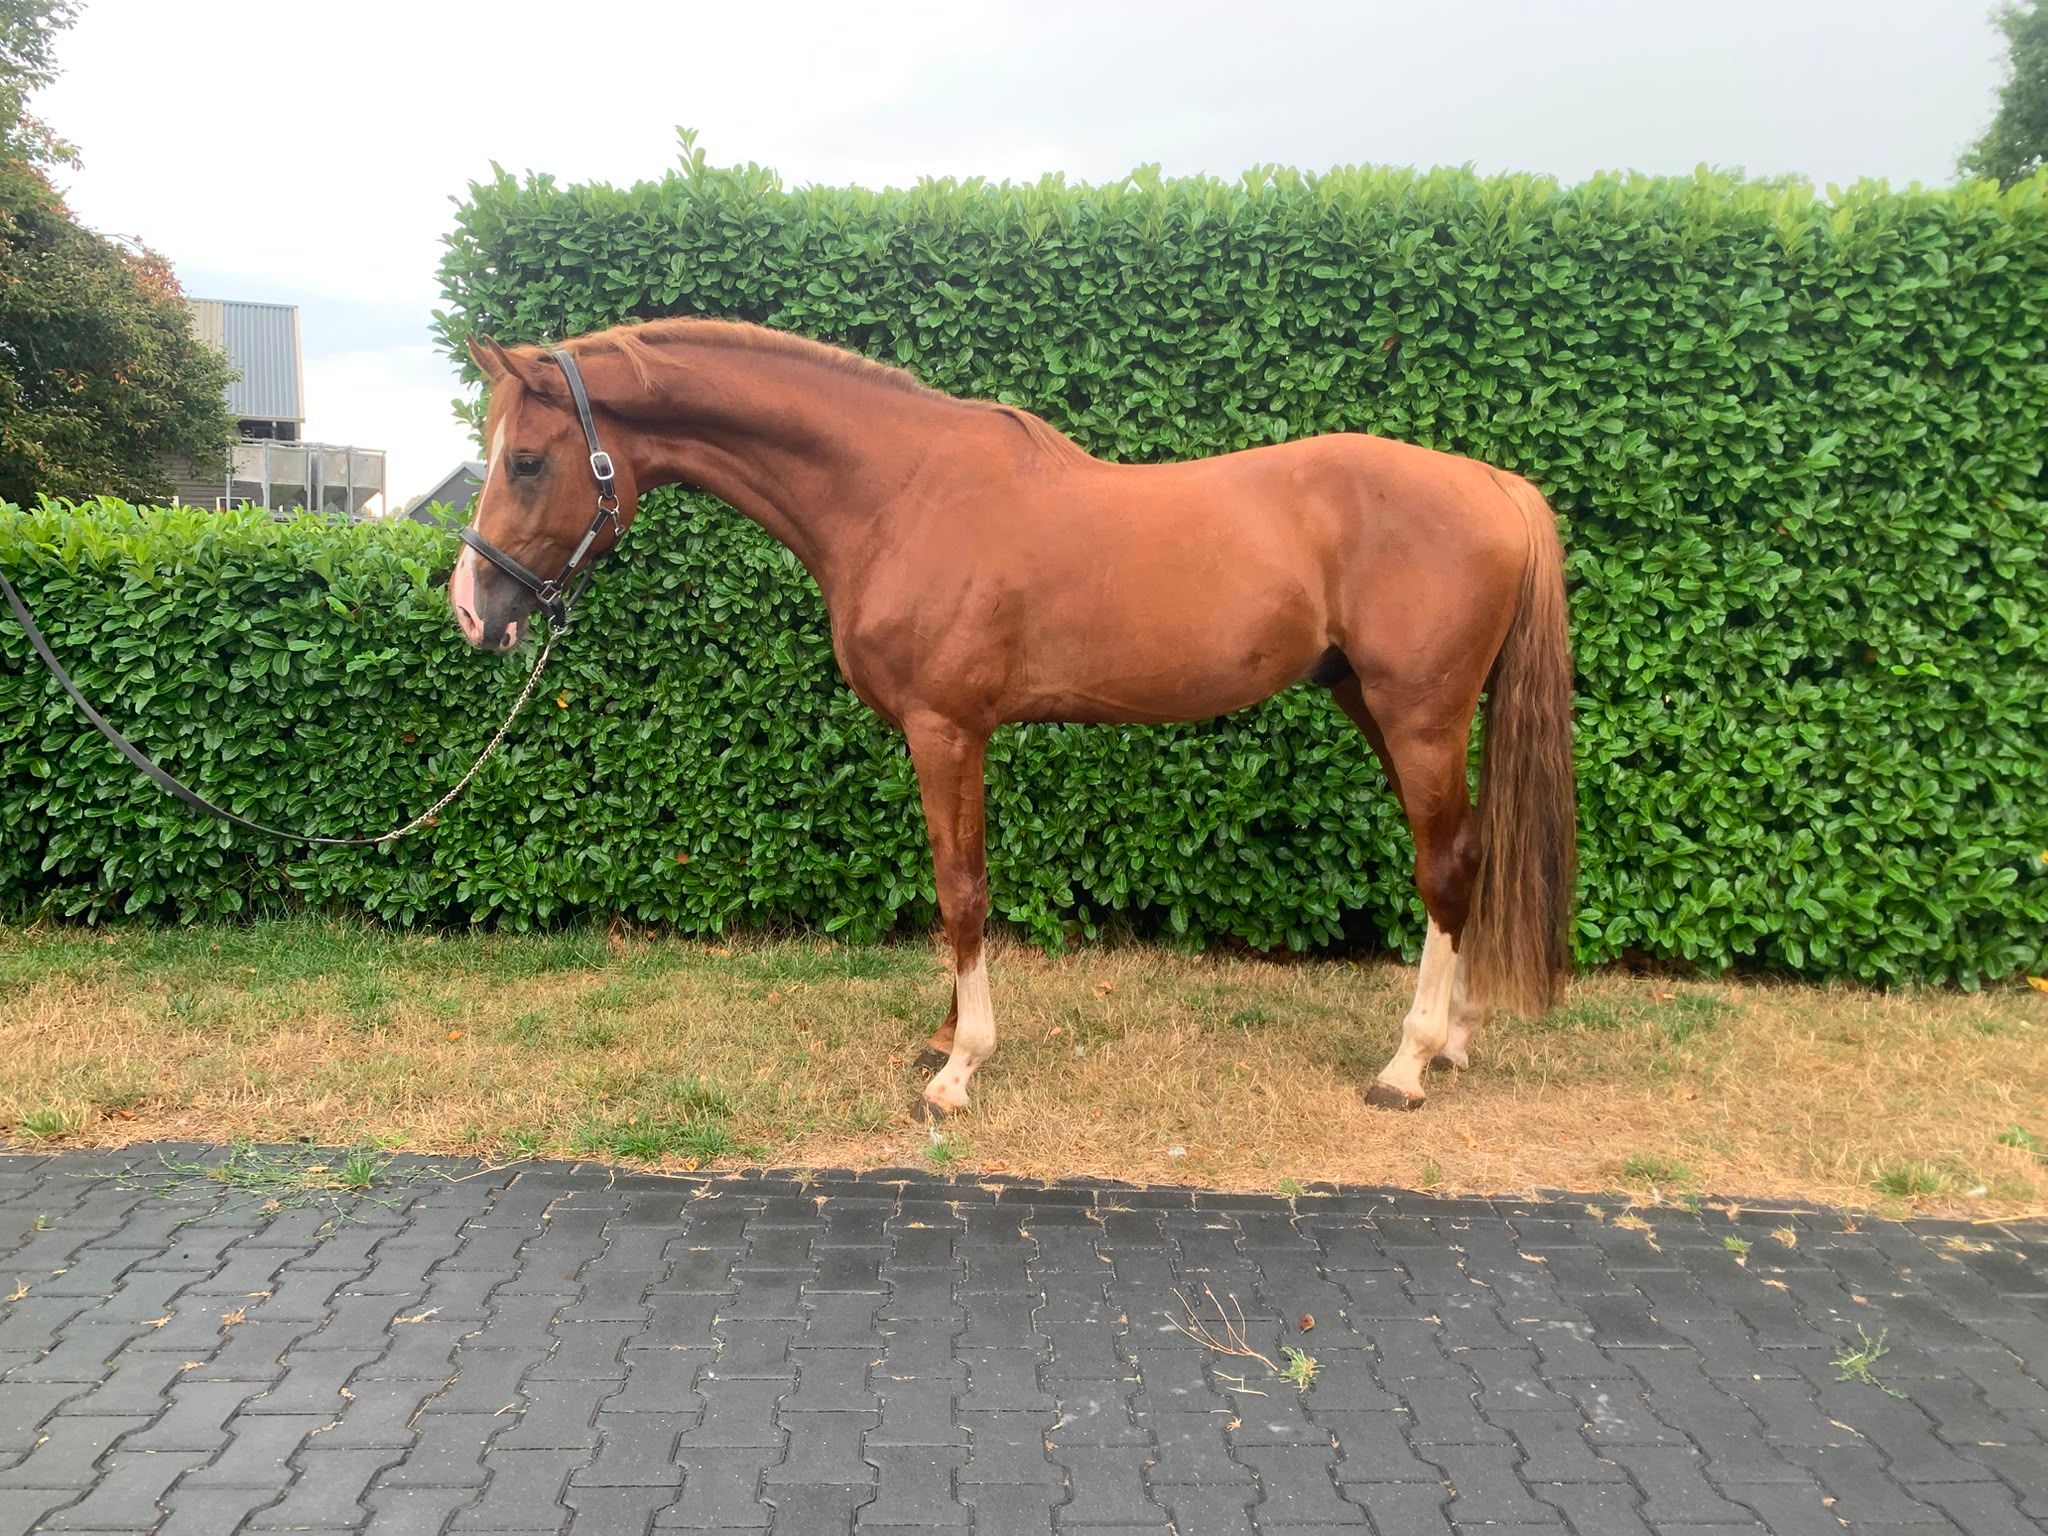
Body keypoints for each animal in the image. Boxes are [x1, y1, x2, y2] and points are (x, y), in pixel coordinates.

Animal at [450, 318, 1576, 1119]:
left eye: (526, 461)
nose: (472, 610)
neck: (897, 492)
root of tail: (1494, 483)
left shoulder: (945, 726)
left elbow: (961, 890)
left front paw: (957, 1073)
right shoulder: (950, 734)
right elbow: (955, 881)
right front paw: (943, 1038)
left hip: (1417, 712)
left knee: (1444, 864)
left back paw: (1407, 1064)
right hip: (1374, 702)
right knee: (1467, 852)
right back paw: (1454, 1042)